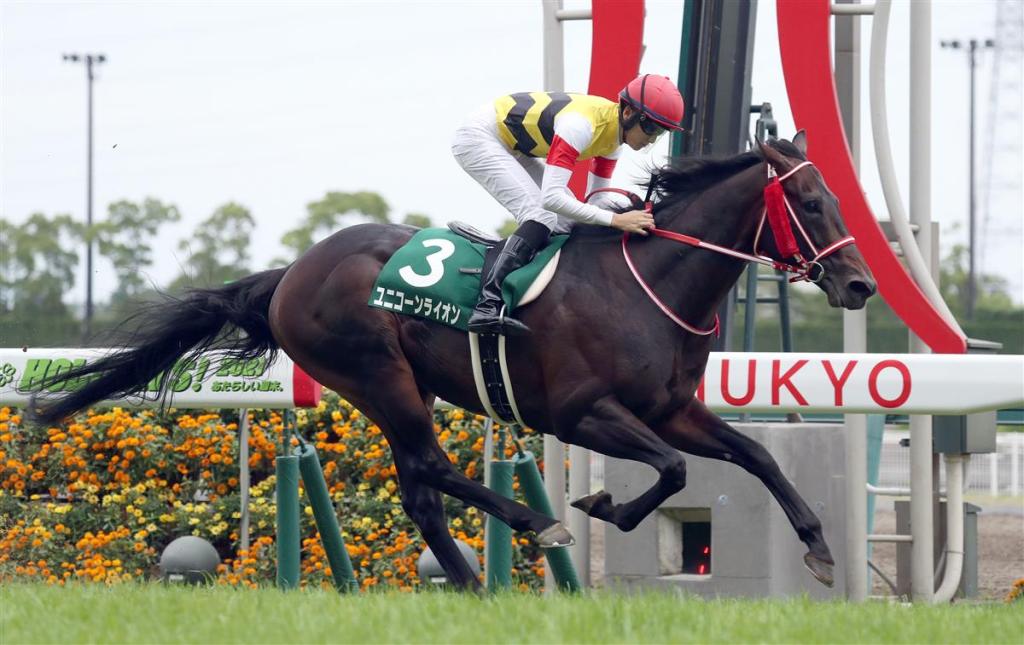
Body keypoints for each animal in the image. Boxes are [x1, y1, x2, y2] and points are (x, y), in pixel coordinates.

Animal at [31, 134, 876, 591]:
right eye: (810, 199)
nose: (860, 283)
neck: (646, 283)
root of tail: (291, 272)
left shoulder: (670, 406)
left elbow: (755, 455)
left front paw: (820, 549)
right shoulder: (582, 413)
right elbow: (669, 471)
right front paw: (599, 506)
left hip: (391, 386)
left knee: (419, 488)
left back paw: (473, 581)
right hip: (378, 374)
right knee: (431, 471)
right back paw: (533, 523)